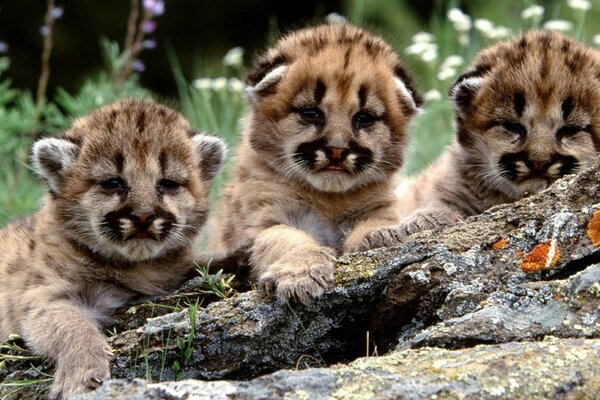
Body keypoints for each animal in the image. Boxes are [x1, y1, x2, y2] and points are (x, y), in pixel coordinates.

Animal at [0, 98, 225, 398]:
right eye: (113, 182)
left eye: (167, 183)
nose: (143, 216)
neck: (134, 269)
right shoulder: (44, 297)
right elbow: (73, 327)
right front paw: (83, 375)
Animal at [211, 24, 422, 304]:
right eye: (311, 113)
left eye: (364, 118)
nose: (337, 150)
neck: (329, 199)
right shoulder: (264, 221)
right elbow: (287, 239)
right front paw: (301, 274)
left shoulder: (380, 206)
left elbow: (377, 220)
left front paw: (382, 234)